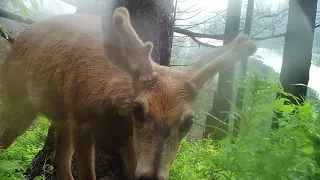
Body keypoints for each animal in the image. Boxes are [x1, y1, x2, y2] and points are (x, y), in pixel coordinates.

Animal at [0, 3, 258, 180]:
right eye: (138, 109)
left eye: (189, 121)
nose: (152, 177)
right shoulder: (82, 121)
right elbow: (88, 175)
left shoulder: (127, 140)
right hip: (17, 102)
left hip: (60, 117)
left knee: (59, 162)